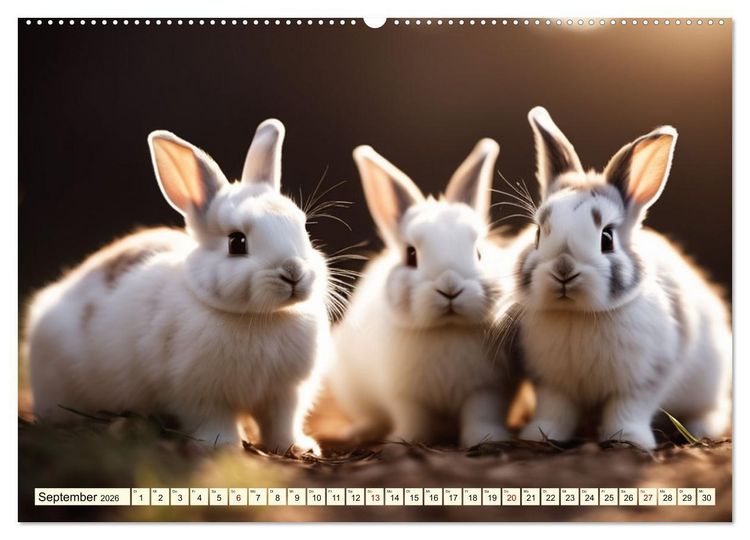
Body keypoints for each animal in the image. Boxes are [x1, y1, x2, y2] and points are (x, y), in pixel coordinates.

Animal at [24, 119, 332, 454]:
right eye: (237, 243)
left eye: (303, 228)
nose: (293, 272)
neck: (262, 317)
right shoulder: (199, 393)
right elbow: (214, 421)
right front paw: (223, 447)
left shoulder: (286, 394)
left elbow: (281, 424)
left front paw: (299, 448)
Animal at [330, 139, 521, 447]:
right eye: (411, 255)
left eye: (479, 252)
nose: (450, 287)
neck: (446, 329)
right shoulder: (405, 397)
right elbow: (413, 418)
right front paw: (406, 439)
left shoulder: (487, 390)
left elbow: (480, 414)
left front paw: (487, 438)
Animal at [516, 106, 732, 449]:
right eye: (537, 234)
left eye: (607, 238)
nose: (563, 270)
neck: (578, 315)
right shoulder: (550, 382)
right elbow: (556, 410)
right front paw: (540, 434)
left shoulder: (645, 379)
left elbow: (628, 409)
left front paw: (629, 440)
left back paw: (700, 428)